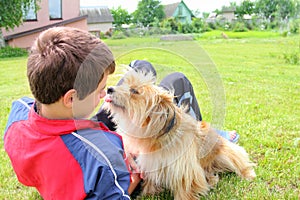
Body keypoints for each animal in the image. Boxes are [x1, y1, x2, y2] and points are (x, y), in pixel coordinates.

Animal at [105, 69, 255, 199]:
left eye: (134, 91)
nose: (109, 89)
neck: (156, 135)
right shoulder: (151, 163)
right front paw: (147, 194)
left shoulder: (185, 169)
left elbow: (185, 189)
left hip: (225, 154)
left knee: (239, 162)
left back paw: (247, 174)